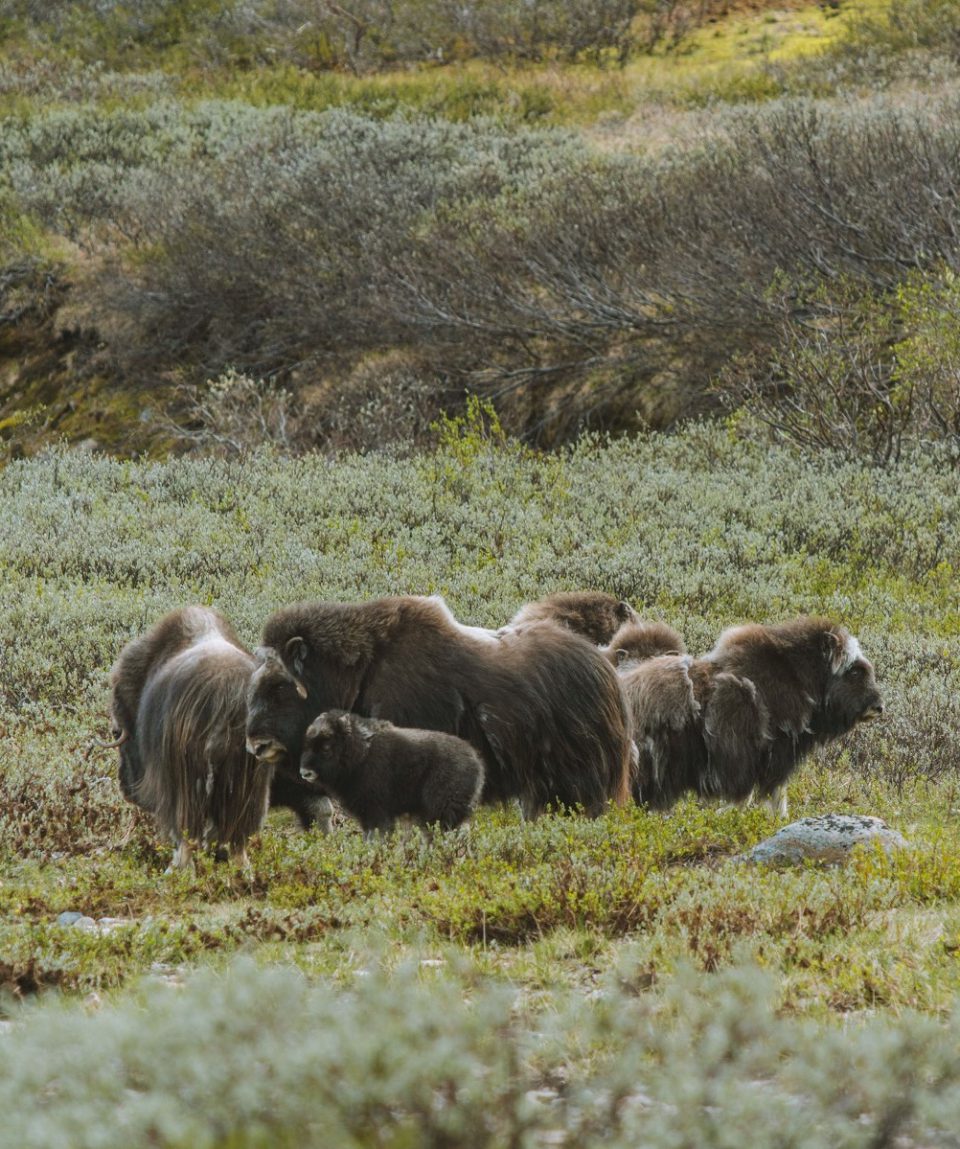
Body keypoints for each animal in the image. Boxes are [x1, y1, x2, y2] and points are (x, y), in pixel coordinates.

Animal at [110, 606, 272, 864]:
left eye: (117, 732)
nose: (126, 789)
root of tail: (226, 696)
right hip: (248, 780)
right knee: (238, 836)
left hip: (187, 778)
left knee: (187, 830)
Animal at [300, 707, 484, 836]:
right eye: (307, 744)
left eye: (326, 746)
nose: (304, 772)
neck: (361, 753)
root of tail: (476, 762)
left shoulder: (377, 813)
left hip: (441, 812)